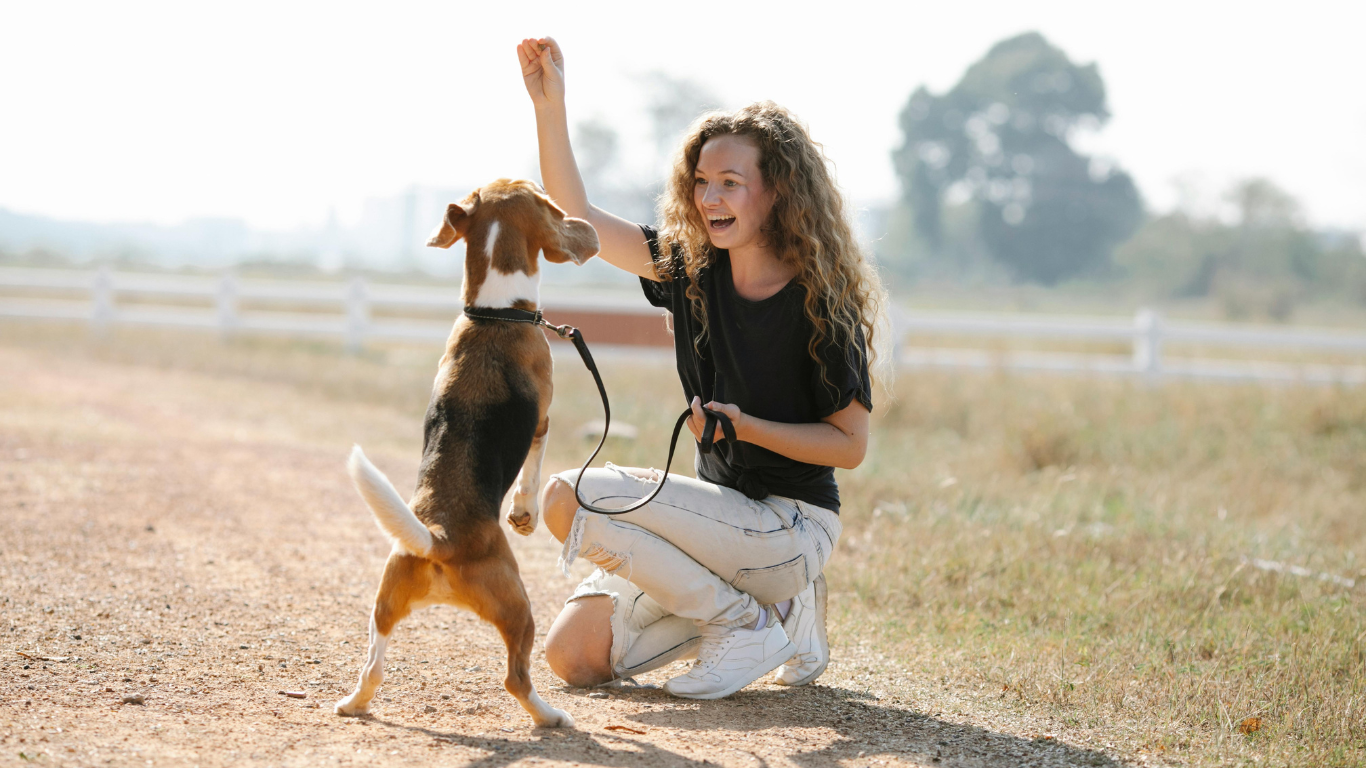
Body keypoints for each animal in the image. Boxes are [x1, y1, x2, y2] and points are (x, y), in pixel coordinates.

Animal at [336, 177, 598, 721]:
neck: (494, 314)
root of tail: (439, 537)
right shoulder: (543, 420)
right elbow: (532, 472)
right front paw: (524, 514)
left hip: (383, 604)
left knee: (372, 667)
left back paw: (352, 704)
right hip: (519, 608)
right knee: (516, 678)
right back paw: (550, 716)